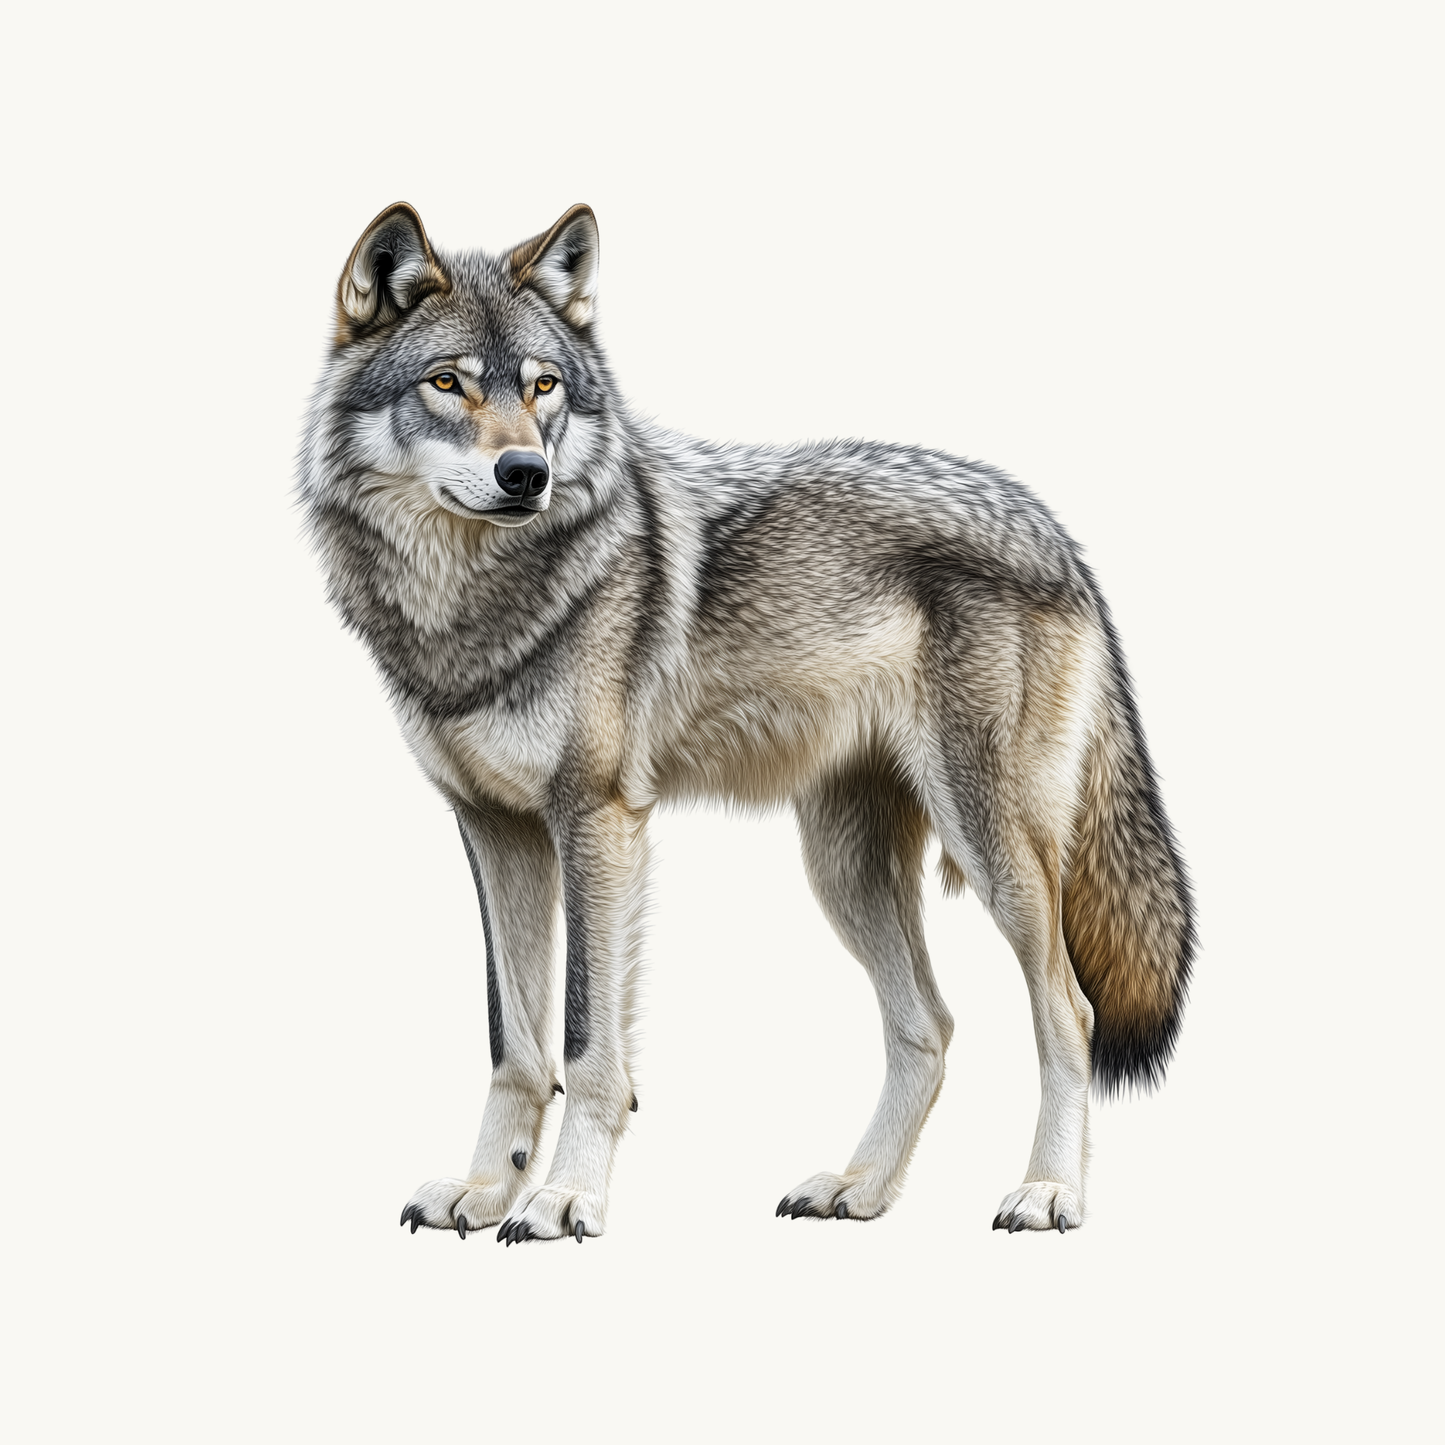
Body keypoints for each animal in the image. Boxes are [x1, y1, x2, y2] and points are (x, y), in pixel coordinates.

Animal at [300, 202, 1194, 1243]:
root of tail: (1051, 526)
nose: (526, 472)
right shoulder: (494, 828)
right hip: (843, 867)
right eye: (447, 383)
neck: (467, 605)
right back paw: (857, 1186)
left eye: (542, 385)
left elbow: (587, 1041)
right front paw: (486, 1190)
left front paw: (564, 1198)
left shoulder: (595, 820)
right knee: (927, 1024)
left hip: (993, 848)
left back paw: (1048, 1191)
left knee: (1068, 1012)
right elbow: (514, 1043)